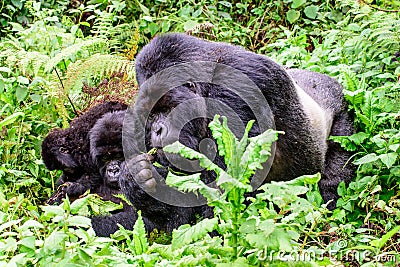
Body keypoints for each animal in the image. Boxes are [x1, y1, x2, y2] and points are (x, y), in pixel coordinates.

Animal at [117, 32, 354, 234]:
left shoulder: (236, 88)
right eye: (150, 117)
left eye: (166, 109)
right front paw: (137, 179)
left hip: (343, 114)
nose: (156, 131)